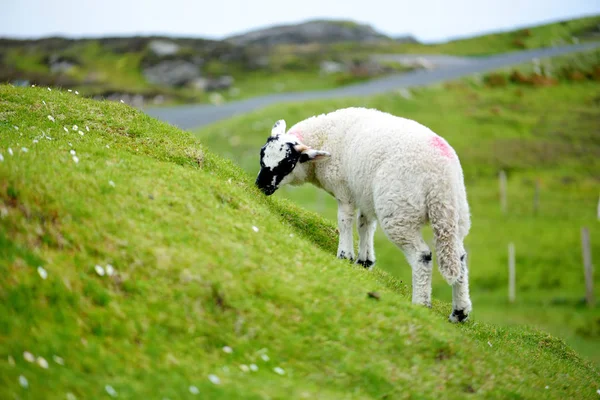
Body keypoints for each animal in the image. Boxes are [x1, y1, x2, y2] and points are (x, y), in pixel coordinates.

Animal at [255, 106, 472, 322]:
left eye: (287, 164)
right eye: (262, 155)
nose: (260, 186)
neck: (323, 137)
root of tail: (441, 178)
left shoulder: (344, 190)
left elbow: (345, 221)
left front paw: (345, 255)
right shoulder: (365, 194)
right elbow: (364, 224)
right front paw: (364, 261)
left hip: (400, 211)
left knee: (422, 255)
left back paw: (421, 304)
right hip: (454, 215)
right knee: (459, 256)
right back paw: (459, 312)